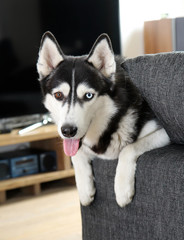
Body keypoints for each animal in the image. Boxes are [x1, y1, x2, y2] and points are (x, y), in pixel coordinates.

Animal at [36, 31, 170, 207]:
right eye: (58, 95)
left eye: (88, 95)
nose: (68, 131)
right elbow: (75, 154)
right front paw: (84, 189)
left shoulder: (164, 134)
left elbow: (128, 148)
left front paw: (122, 189)